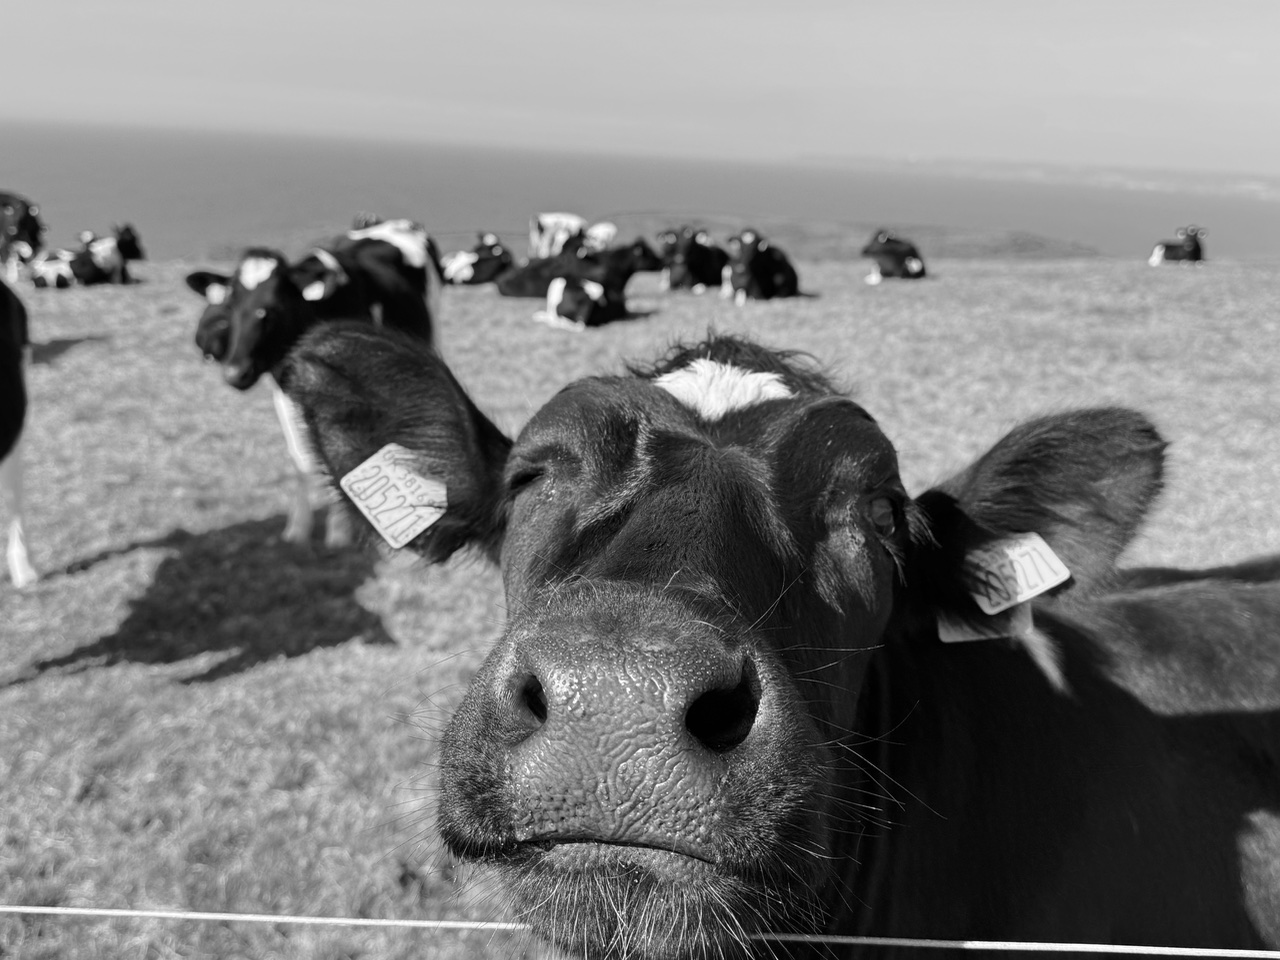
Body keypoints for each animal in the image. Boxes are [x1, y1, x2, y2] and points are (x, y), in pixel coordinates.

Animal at [184, 225, 438, 546]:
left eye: (271, 309)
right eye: (229, 308)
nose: (234, 372)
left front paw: (339, 531)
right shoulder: (285, 386)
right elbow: (301, 457)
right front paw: (298, 528)